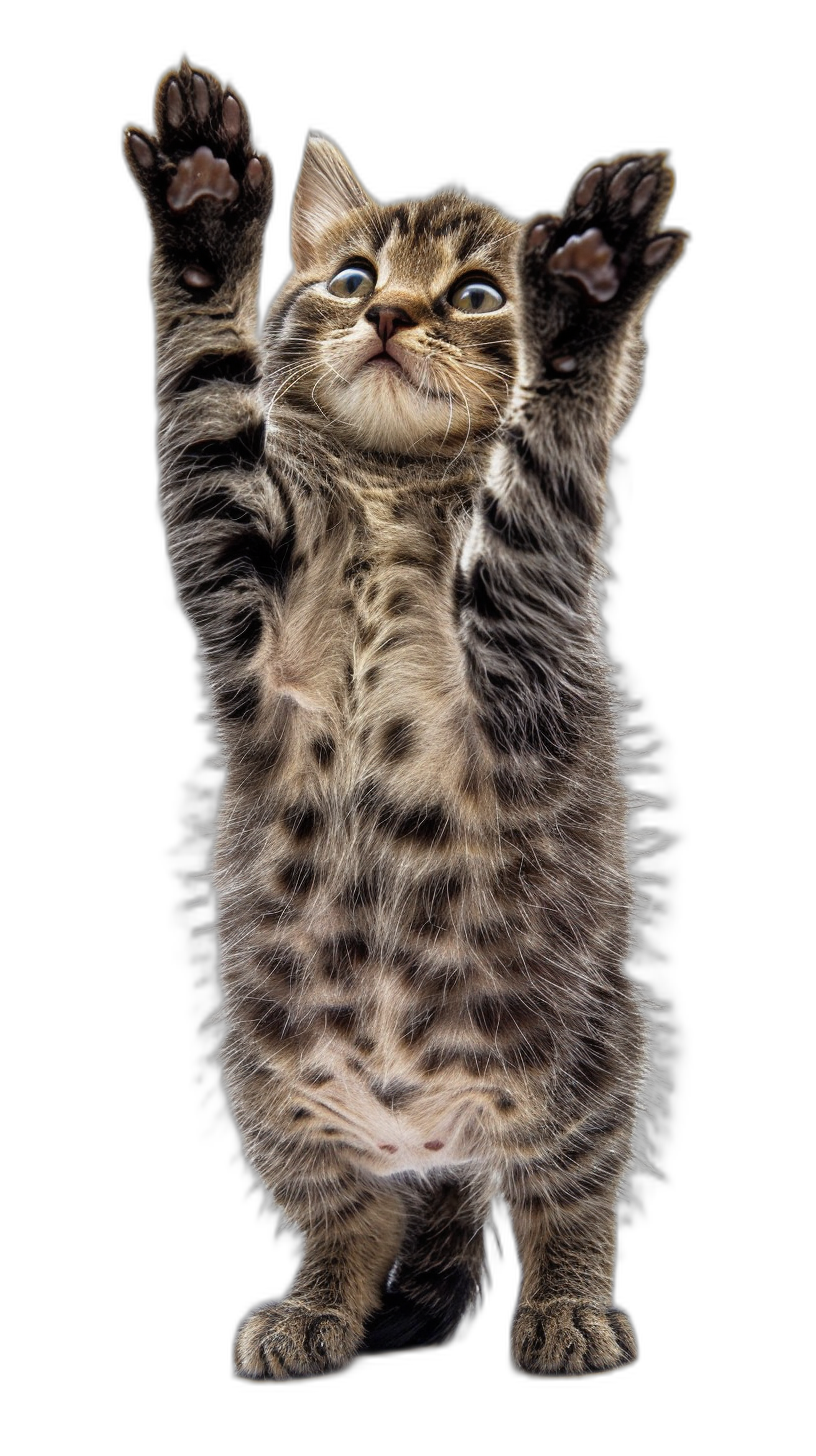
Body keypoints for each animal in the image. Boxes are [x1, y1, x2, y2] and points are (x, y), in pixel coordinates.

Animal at [124, 59, 684, 1374]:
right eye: (349, 277)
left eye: (478, 293)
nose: (386, 315)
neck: (387, 499)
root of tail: (436, 1145)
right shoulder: (236, 580)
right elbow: (202, 398)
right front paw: (204, 212)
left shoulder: (527, 620)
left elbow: (540, 464)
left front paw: (587, 298)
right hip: (274, 1092)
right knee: (353, 1221)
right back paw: (314, 1311)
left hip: (593, 1065)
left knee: (565, 1202)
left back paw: (571, 1313)